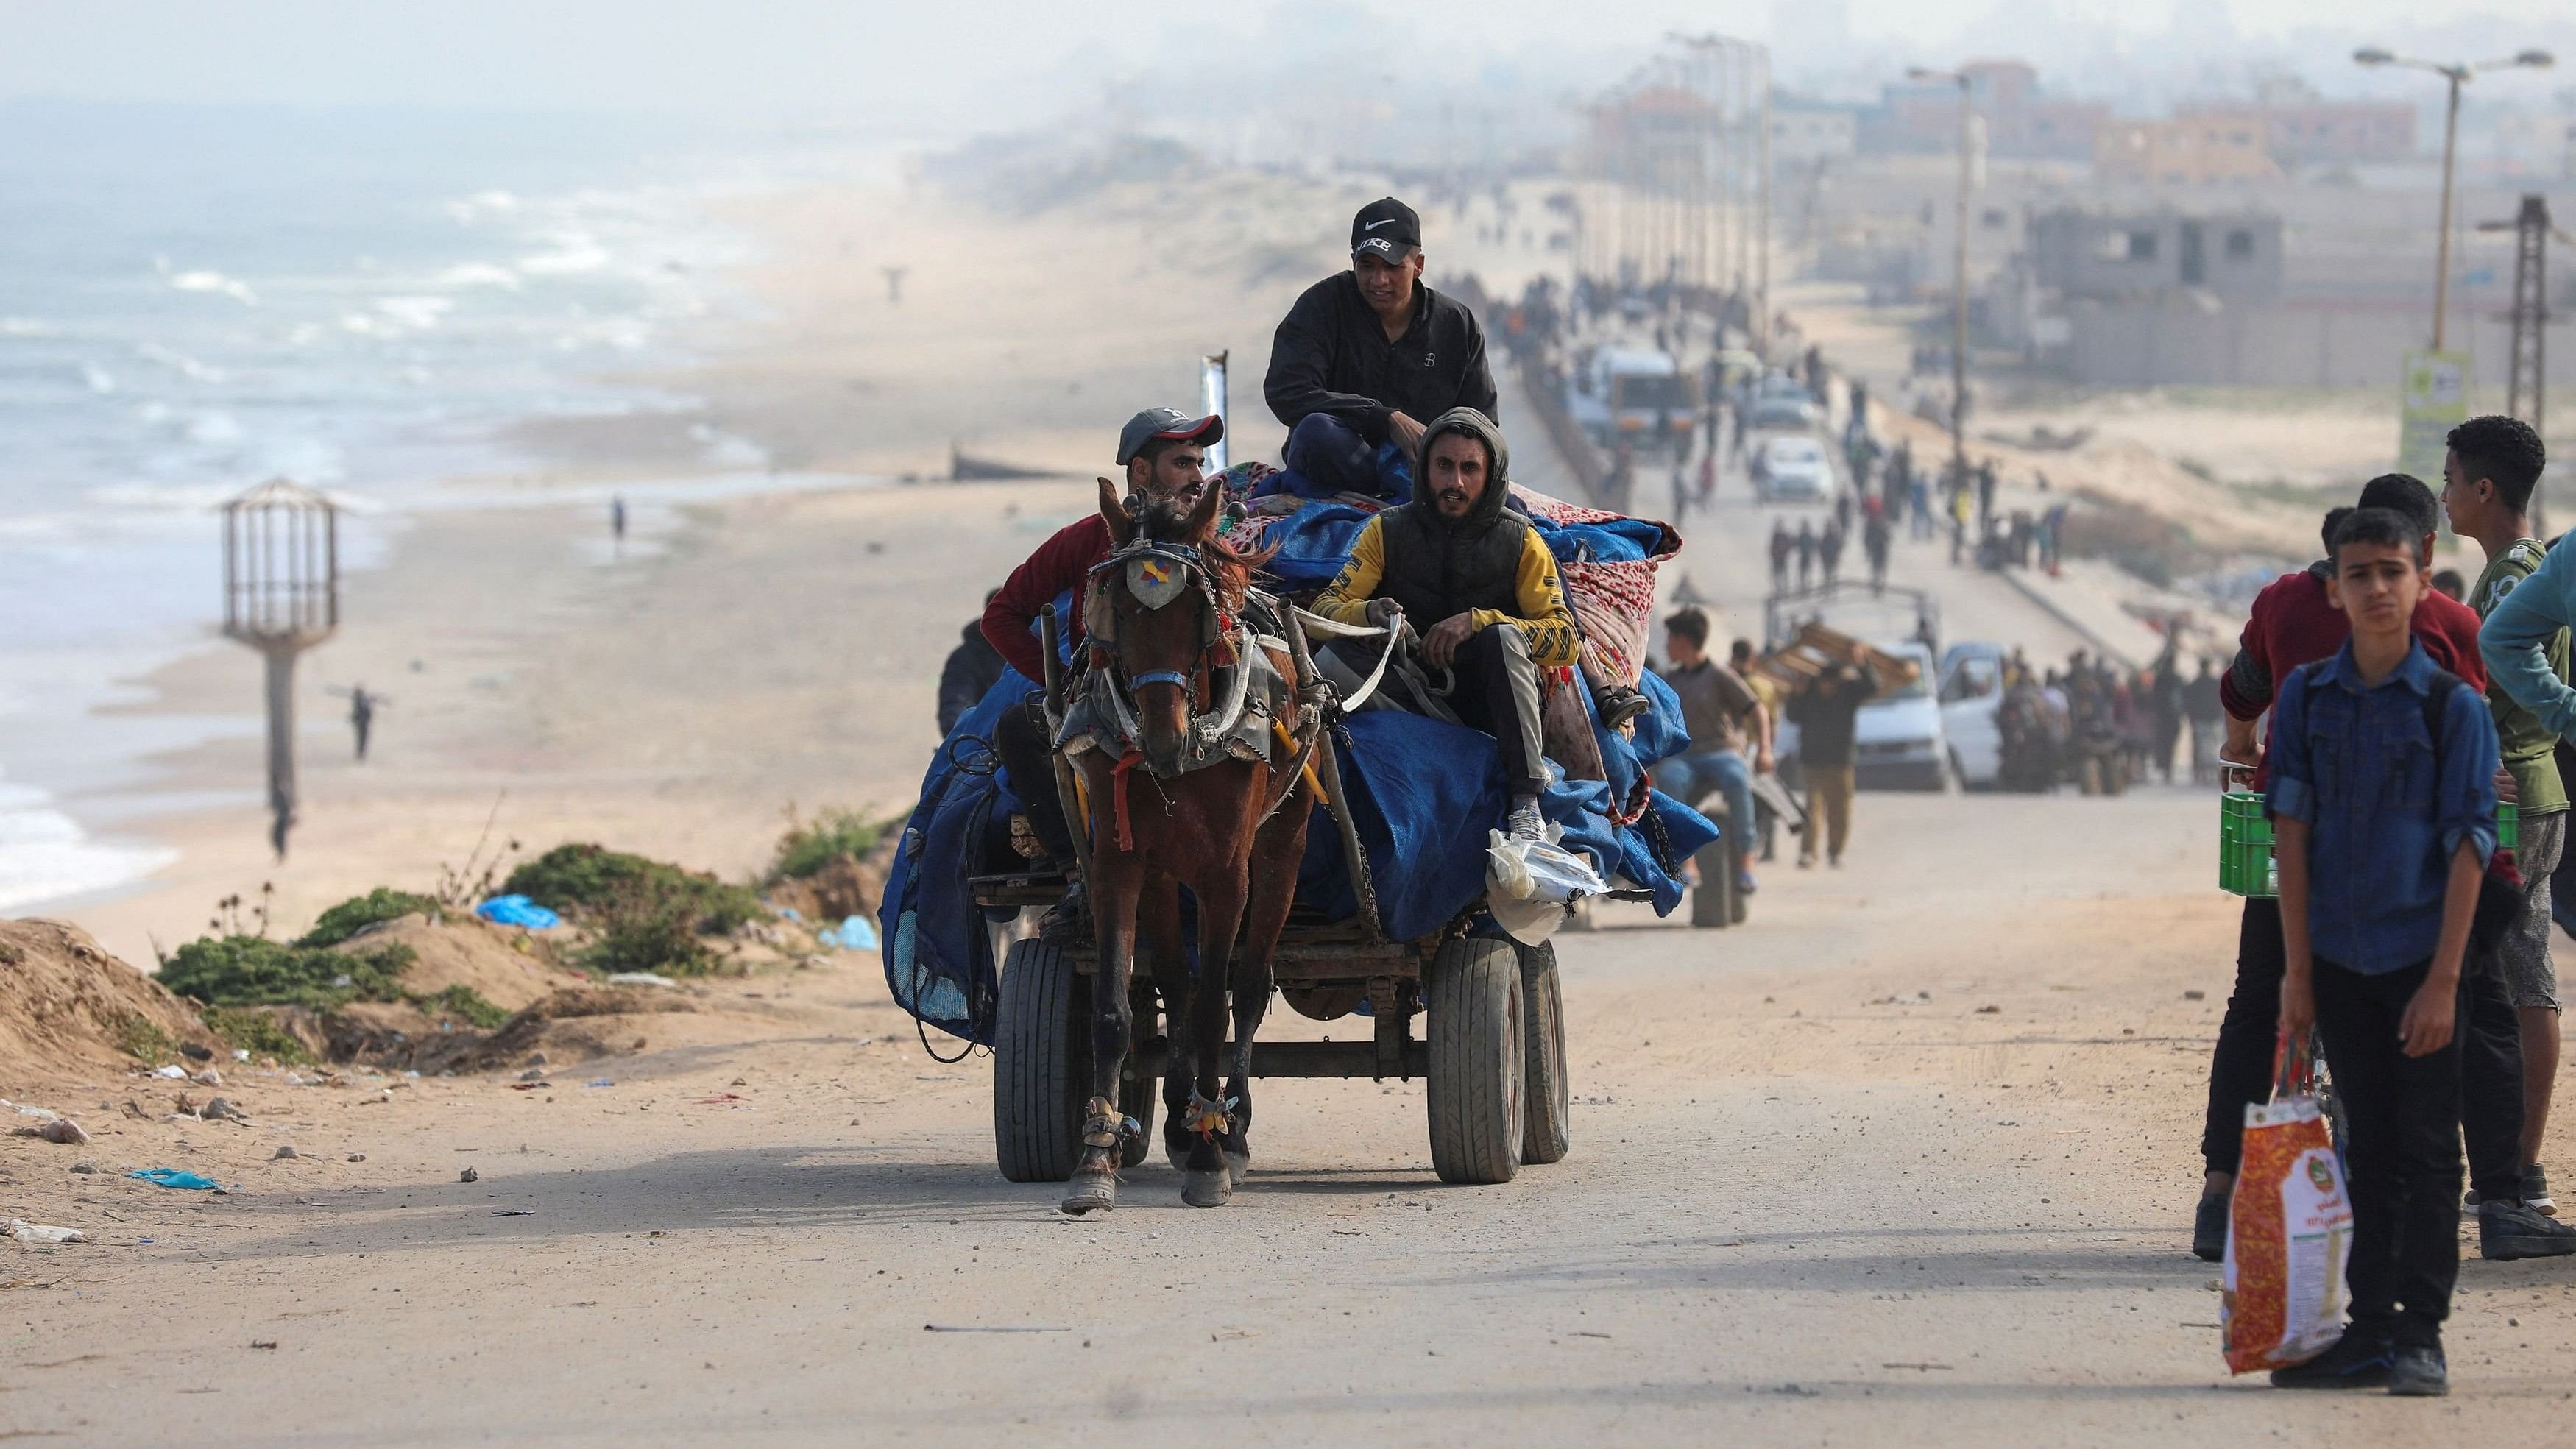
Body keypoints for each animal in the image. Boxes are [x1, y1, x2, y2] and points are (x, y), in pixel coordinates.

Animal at [1061, 476, 1319, 1214]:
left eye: (1196, 613)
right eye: (1116, 610)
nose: (1161, 740)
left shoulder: (1226, 876)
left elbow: (1214, 1010)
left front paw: (1210, 1156)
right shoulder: (1119, 863)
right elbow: (1116, 1008)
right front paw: (1095, 1158)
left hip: (1284, 843)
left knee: (1249, 984)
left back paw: (1230, 1124)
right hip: (1159, 873)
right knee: (1175, 980)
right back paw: (1182, 1116)